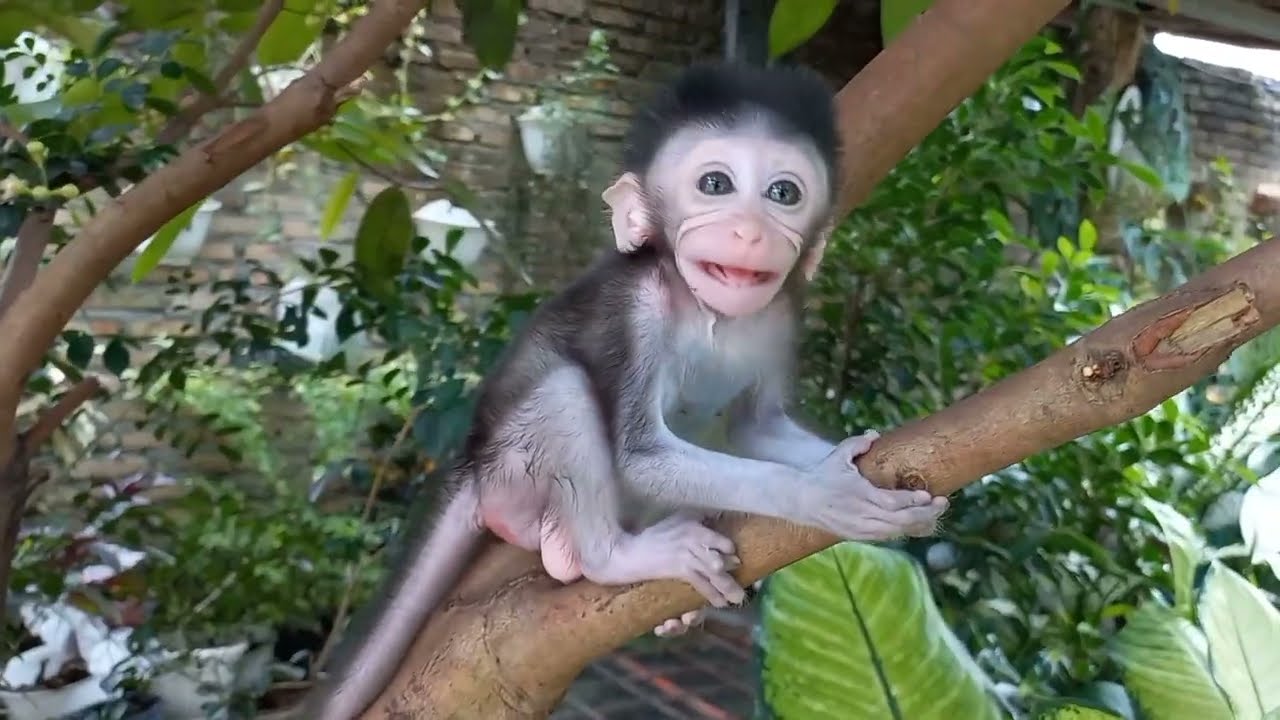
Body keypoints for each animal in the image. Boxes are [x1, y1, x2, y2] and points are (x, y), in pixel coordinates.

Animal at [305, 61, 949, 720]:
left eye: (783, 194)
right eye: (715, 184)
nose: (748, 232)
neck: (707, 311)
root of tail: (471, 459)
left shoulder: (780, 316)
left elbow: (756, 427)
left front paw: (844, 460)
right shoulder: (632, 309)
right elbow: (640, 454)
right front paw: (820, 493)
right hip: (511, 474)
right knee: (567, 392)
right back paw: (604, 555)